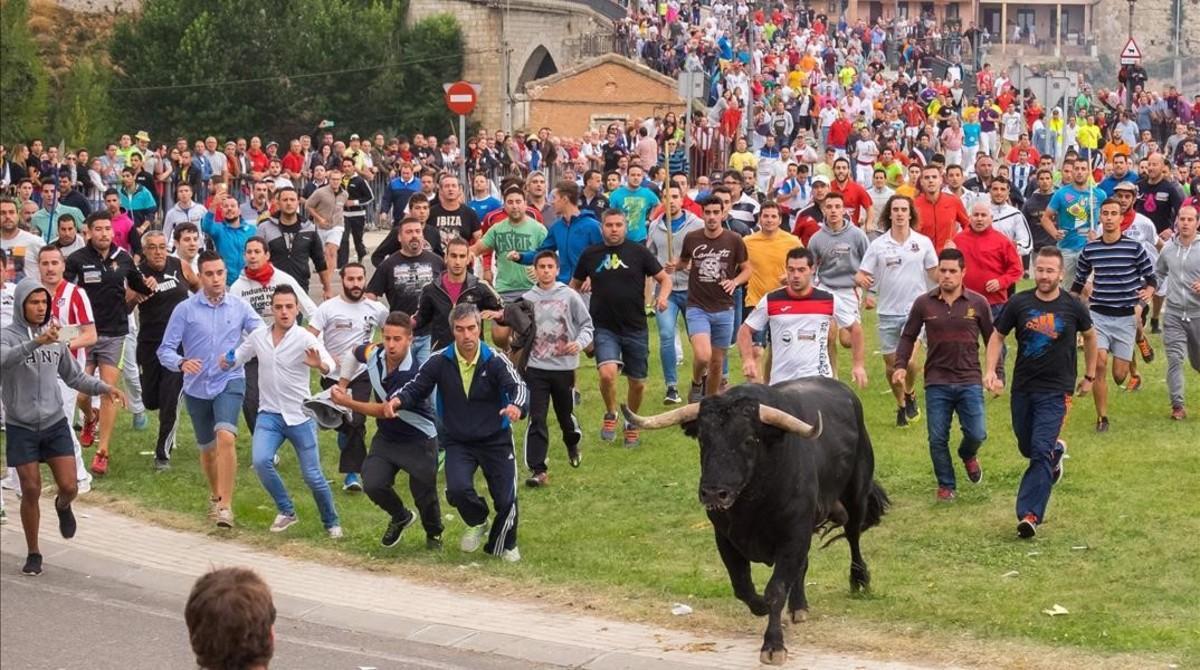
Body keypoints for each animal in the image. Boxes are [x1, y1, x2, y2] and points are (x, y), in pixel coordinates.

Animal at [624, 379, 888, 667]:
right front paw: (761, 607)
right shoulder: (726, 538)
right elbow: (743, 587)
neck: (751, 506)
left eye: (749, 439)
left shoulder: (792, 536)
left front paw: (773, 645)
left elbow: (776, 589)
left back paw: (859, 580)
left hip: (856, 496)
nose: (714, 493)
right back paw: (799, 606)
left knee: (853, 538)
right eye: (703, 439)